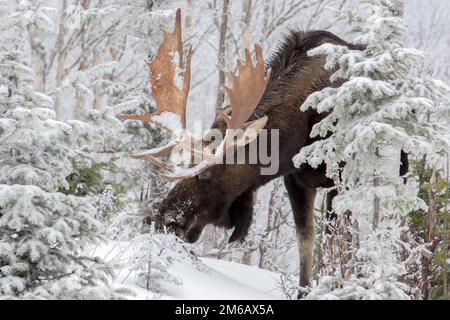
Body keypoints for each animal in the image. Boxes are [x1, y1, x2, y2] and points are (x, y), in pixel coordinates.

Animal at [120, 8, 408, 296]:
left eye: (207, 174)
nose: (161, 219)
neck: (299, 131)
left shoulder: (342, 175)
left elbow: (337, 240)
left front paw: (339, 286)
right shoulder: (295, 180)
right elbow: (306, 244)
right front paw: (305, 291)